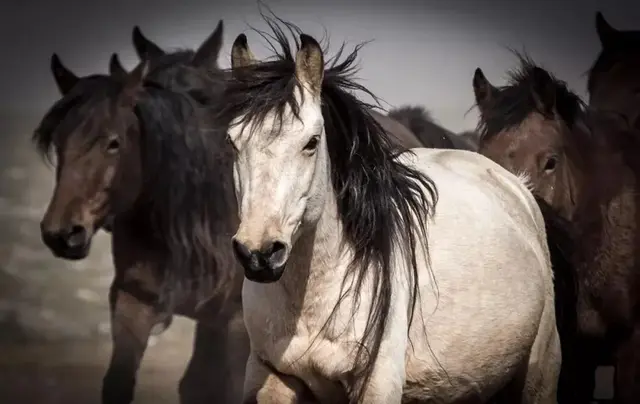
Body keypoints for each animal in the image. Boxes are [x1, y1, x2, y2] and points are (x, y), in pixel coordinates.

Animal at [34, 22, 250, 404]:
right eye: (58, 142)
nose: (61, 234)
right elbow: (119, 383)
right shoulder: (133, 301)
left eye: (113, 142)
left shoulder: (237, 321)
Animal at [216, 16, 560, 404]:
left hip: (539, 371)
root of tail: (516, 185)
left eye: (311, 142)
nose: (259, 254)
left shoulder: (377, 382)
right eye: (232, 141)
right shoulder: (272, 375)